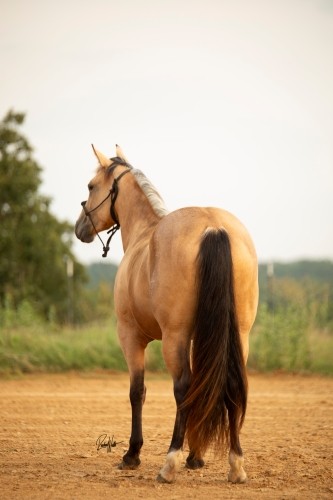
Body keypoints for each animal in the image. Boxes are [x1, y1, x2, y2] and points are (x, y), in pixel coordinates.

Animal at [74, 145, 258, 484]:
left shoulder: (130, 337)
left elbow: (138, 392)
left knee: (182, 388)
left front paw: (132, 454)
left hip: (174, 338)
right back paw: (236, 464)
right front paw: (196, 457)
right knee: (230, 384)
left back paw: (169, 463)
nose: (80, 228)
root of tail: (212, 226)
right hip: (238, 335)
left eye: (91, 187)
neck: (144, 235)